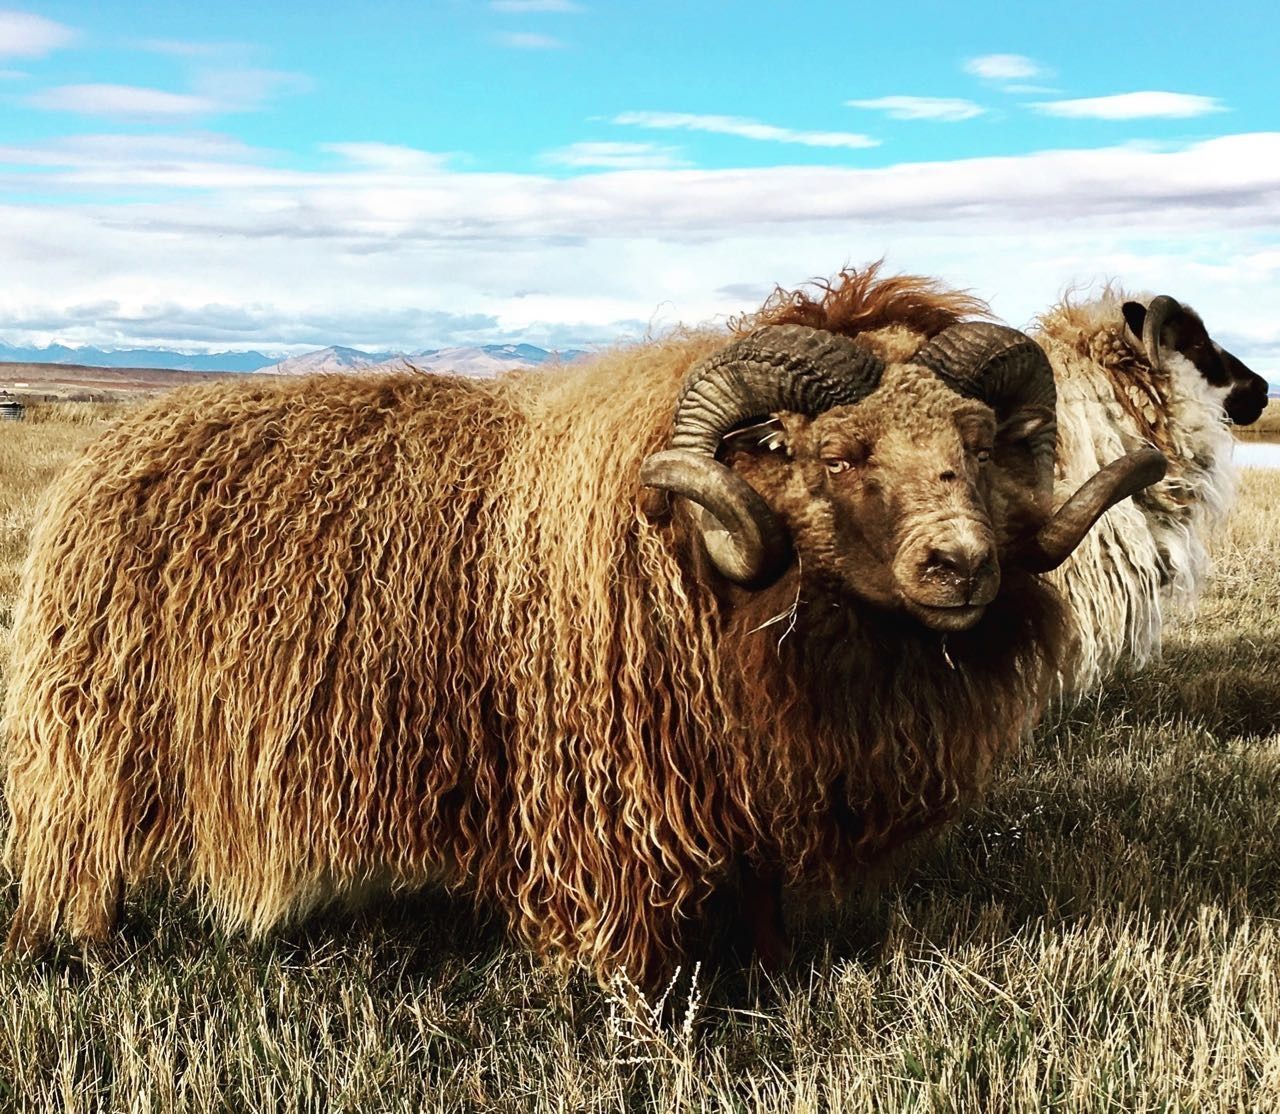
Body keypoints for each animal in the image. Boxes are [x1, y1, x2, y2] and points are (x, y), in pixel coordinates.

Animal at [2, 274, 1162, 983]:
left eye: (978, 442)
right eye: (835, 452)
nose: (961, 565)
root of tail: (102, 461)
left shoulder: (741, 775)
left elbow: (761, 898)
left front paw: (769, 978)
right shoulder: (604, 788)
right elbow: (626, 939)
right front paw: (632, 1010)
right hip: (96, 740)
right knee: (80, 856)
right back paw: (85, 949)